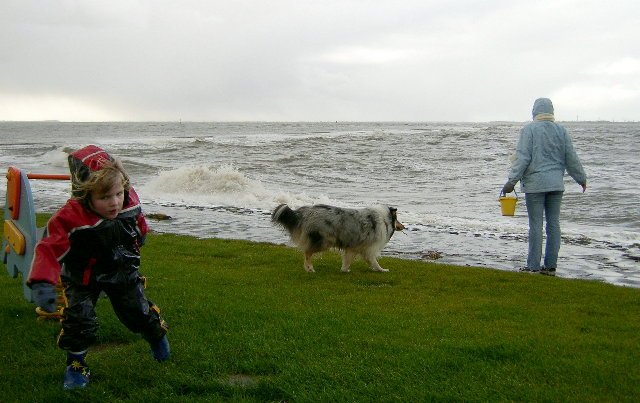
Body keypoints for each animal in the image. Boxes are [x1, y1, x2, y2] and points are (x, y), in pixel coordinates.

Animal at [272, 204, 404, 274]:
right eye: (397, 219)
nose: (404, 226)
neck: (385, 221)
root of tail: (306, 213)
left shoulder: (352, 247)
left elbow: (347, 260)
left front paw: (344, 270)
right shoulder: (369, 249)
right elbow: (374, 262)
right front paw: (382, 270)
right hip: (324, 242)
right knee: (307, 252)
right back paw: (310, 268)